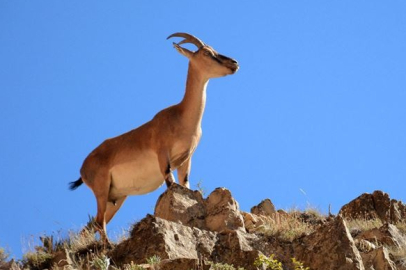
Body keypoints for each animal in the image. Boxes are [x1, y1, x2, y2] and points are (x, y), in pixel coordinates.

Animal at [70, 32, 238, 242]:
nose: (234, 63)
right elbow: (170, 183)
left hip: (115, 197)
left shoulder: (186, 159)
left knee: (92, 225)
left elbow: (185, 183)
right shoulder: (162, 154)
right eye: (207, 52)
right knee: (99, 223)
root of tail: (83, 169)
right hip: (101, 189)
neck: (181, 117)